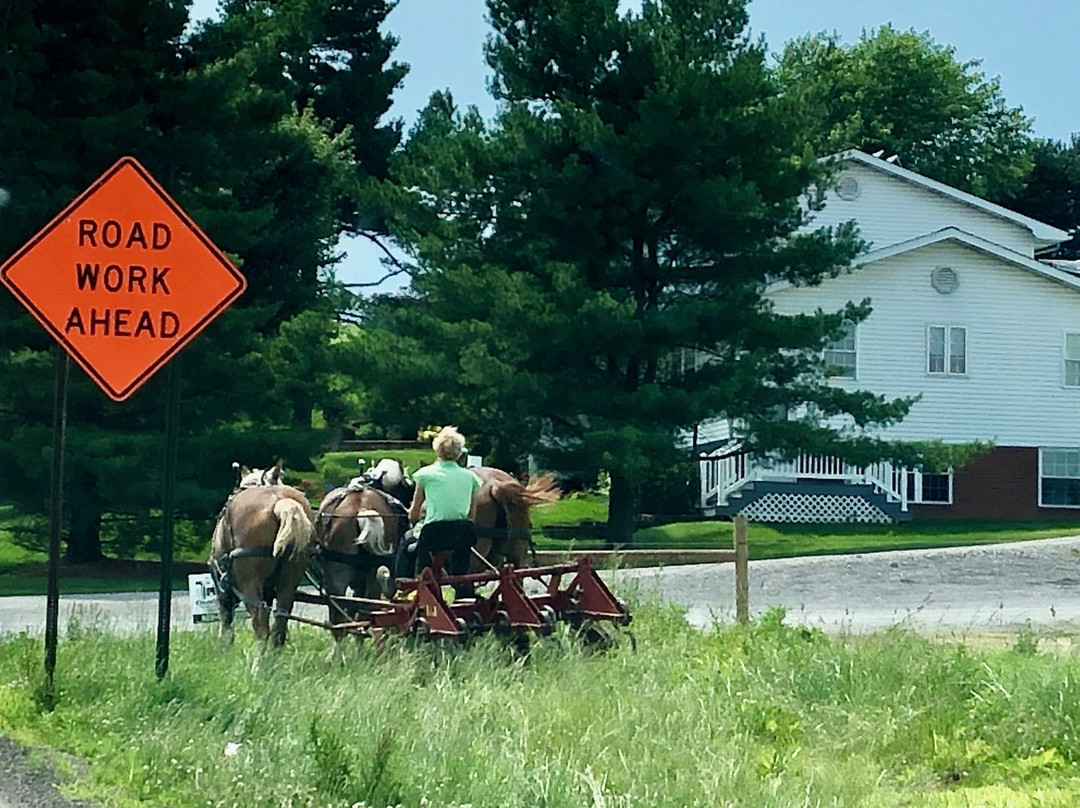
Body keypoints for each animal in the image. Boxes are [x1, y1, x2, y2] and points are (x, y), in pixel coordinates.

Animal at [208, 460, 315, 643]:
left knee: (260, 623)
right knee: (280, 622)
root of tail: (281, 503)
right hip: (290, 578)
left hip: (249, 581)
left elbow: (226, 621)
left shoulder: (223, 587)